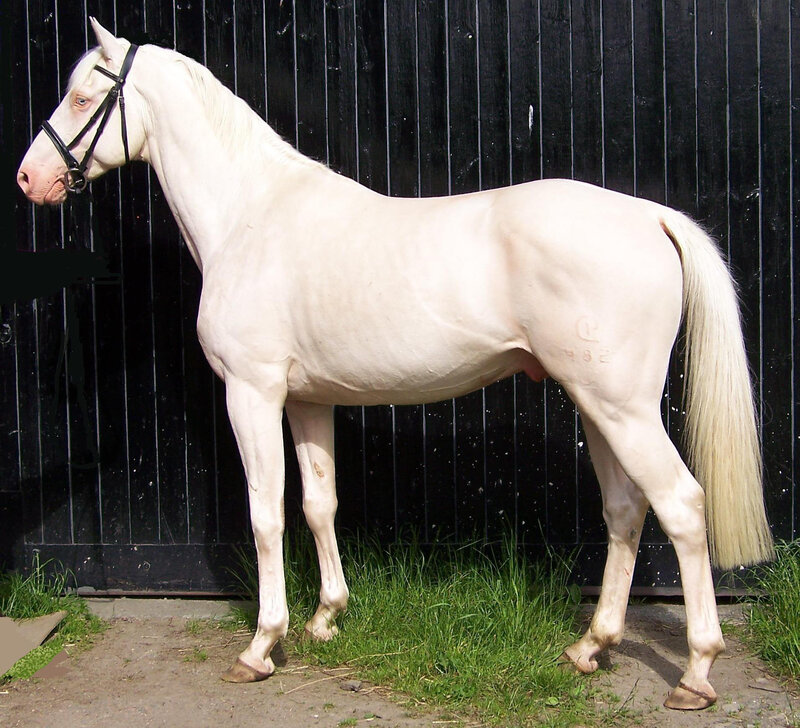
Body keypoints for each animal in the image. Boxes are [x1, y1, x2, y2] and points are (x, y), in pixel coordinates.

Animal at [17, 18, 774, 711]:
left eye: (83, 97)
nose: (30, 178)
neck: (251, 216)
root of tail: (649, 216)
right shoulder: (306, 400)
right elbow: (318, 504)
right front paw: (326, 619)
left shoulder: (252, 392)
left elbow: (265, 515)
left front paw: (262, 646)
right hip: (599, 405)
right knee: (625, 510)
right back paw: (590, 646)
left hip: (622, 409)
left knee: (681, 506)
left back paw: (697, 672)